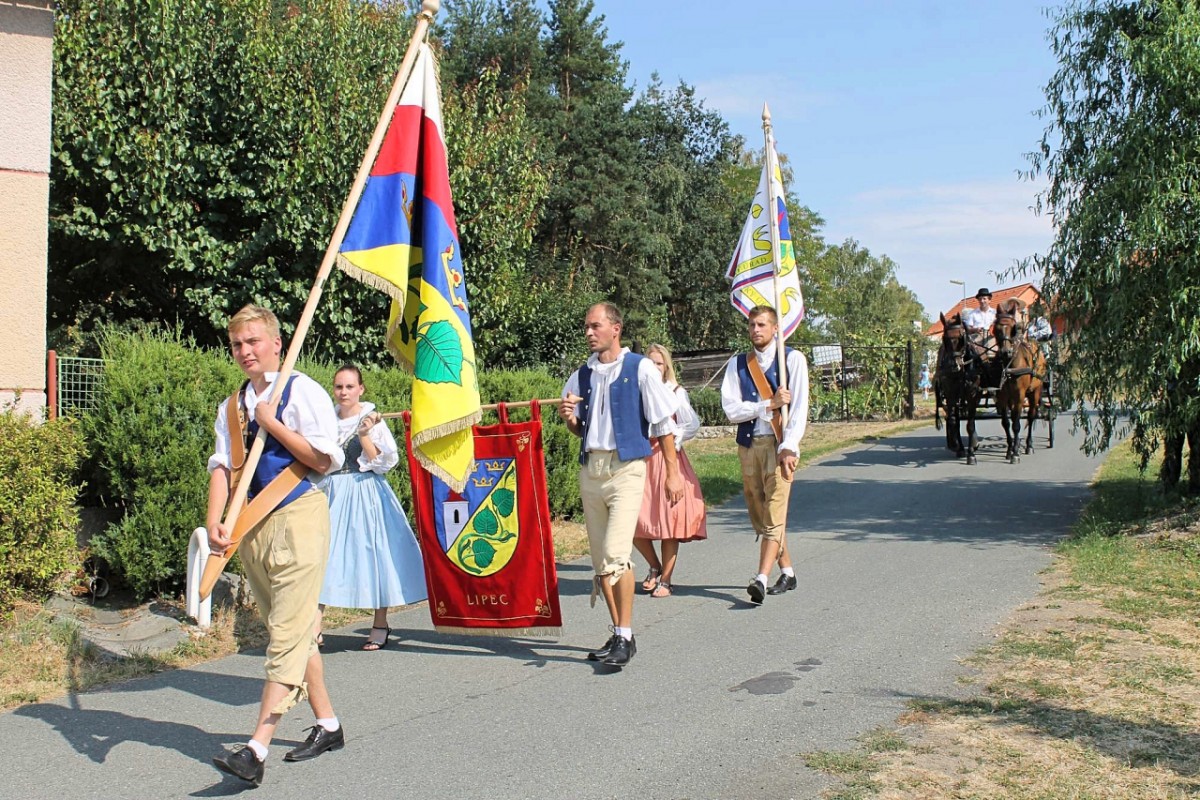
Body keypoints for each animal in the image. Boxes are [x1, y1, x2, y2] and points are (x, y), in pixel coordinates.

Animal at [936, 311, 984, 465]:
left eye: (961, 337)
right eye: (944, 338)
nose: (953, 365)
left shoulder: (973, 394)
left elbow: (970, 424)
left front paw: (971, 454)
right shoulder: (951, 393)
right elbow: (952, 420)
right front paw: (957, 445)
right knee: (955, 418)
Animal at [988, 299, 1046, 462]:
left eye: (1014, 328)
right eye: (996, 328)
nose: (1005, 352)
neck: (1009, 365)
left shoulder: (1019, 395)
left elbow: (1016, 423)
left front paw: (1015, 453)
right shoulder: (1002, 396)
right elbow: (1006, 422)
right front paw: (1009, 449)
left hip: (1035, 392)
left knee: (1031, 416)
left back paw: (1028, 446)